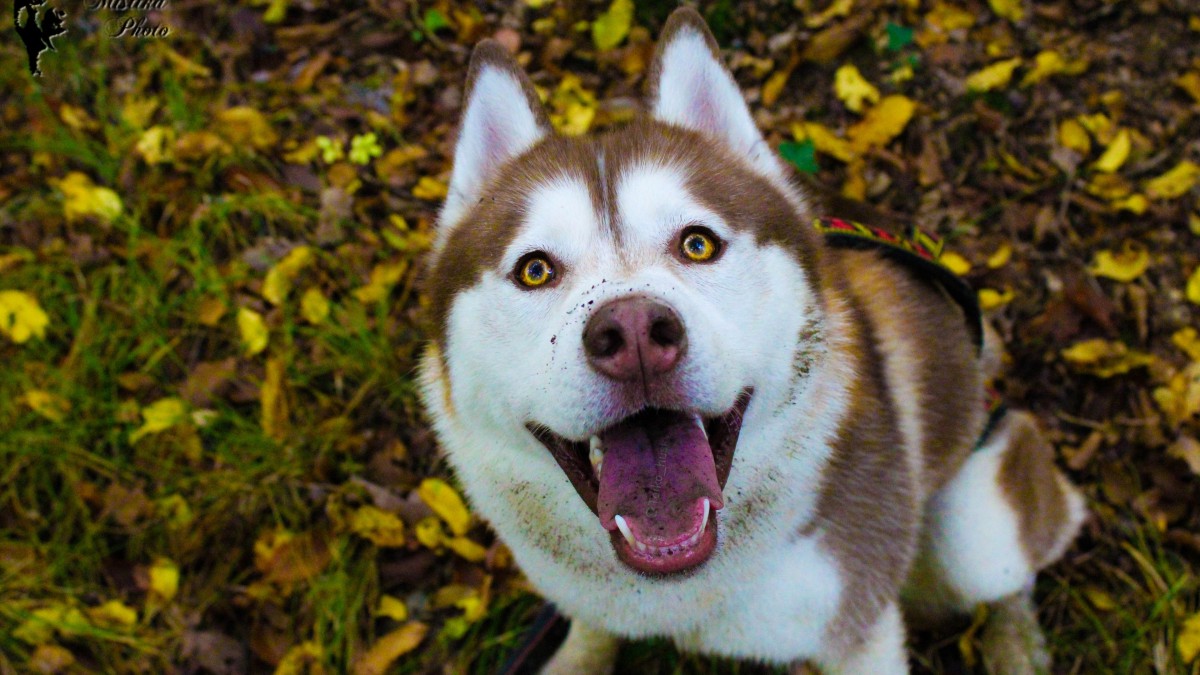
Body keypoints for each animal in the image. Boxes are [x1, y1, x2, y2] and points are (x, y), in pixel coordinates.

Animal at [422, 6, 1089, 672]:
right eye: (535, 270)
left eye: (698, 243)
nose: (634, 333)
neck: (682, 589)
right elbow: (588, 631)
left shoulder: (861, 625)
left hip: (978, 529)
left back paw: (1015, 642)